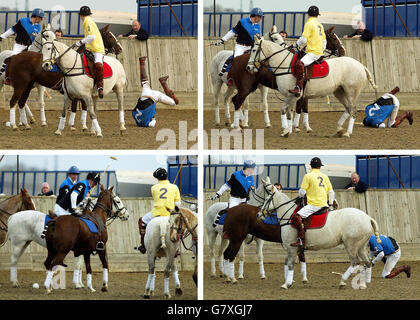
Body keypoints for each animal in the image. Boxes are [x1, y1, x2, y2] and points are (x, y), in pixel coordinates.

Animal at [246, 35, 378, 138]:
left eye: (254, 50)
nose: (248, 67)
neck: (284, 65)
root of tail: (361, 66)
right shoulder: (291, 96)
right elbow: (288, 112)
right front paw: (288, 130)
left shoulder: (293, 95)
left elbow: (285, 110)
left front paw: (287, 131)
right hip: (339, 92)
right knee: (348, 108)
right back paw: (339, 129)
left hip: (351, 92)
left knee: (353, 110)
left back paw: (347, 132)